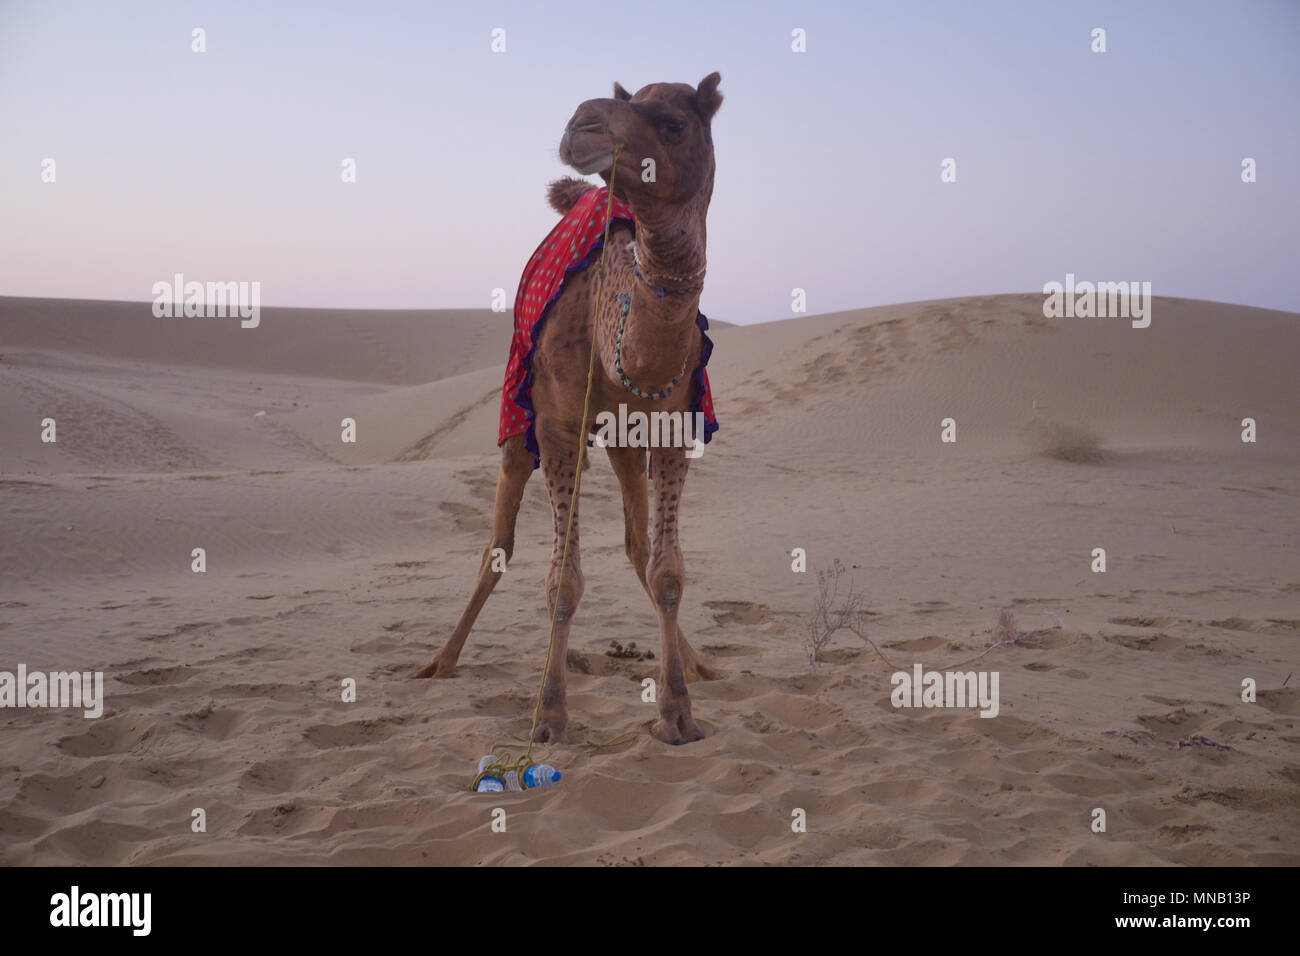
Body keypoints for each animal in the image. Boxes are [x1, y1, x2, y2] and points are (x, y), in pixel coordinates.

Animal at [413, 74, 728, 749]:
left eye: (673, 124)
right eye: (626, 100)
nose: (583, 122)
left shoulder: (671, 427)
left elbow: (667, 569)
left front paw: (677, 711)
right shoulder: (557, 429)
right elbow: (563, 578)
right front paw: (550, 717)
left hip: (625, 440)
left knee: (636, 545)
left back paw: (697, 662)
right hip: (518, 425)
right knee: (498, 543)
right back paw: (441, 660)